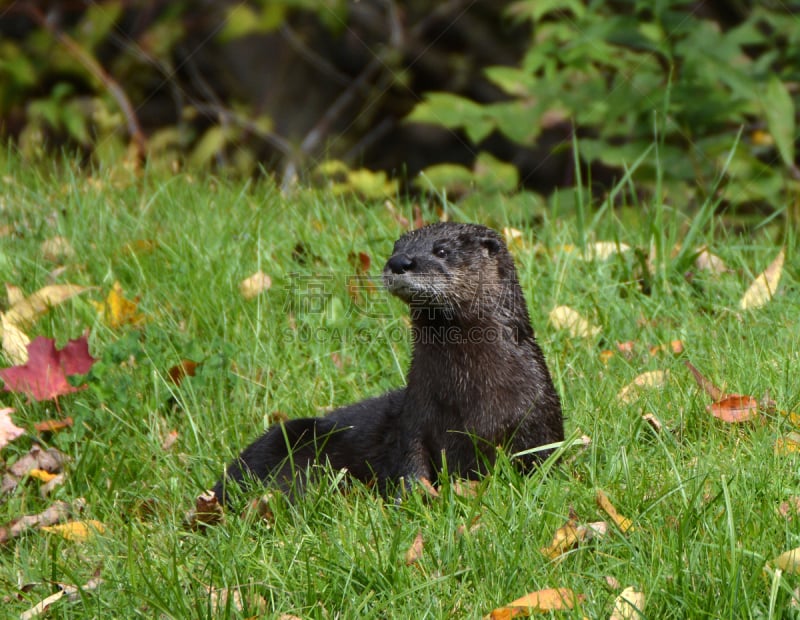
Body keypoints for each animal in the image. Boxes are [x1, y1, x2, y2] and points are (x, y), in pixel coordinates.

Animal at [211, 223, 564, 504]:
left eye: (442, 250)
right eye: (396, 247)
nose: (399, 262)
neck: (467, 395)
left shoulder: (538, 415)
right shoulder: (415, 415)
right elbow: (410, 459)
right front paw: (410, 497)